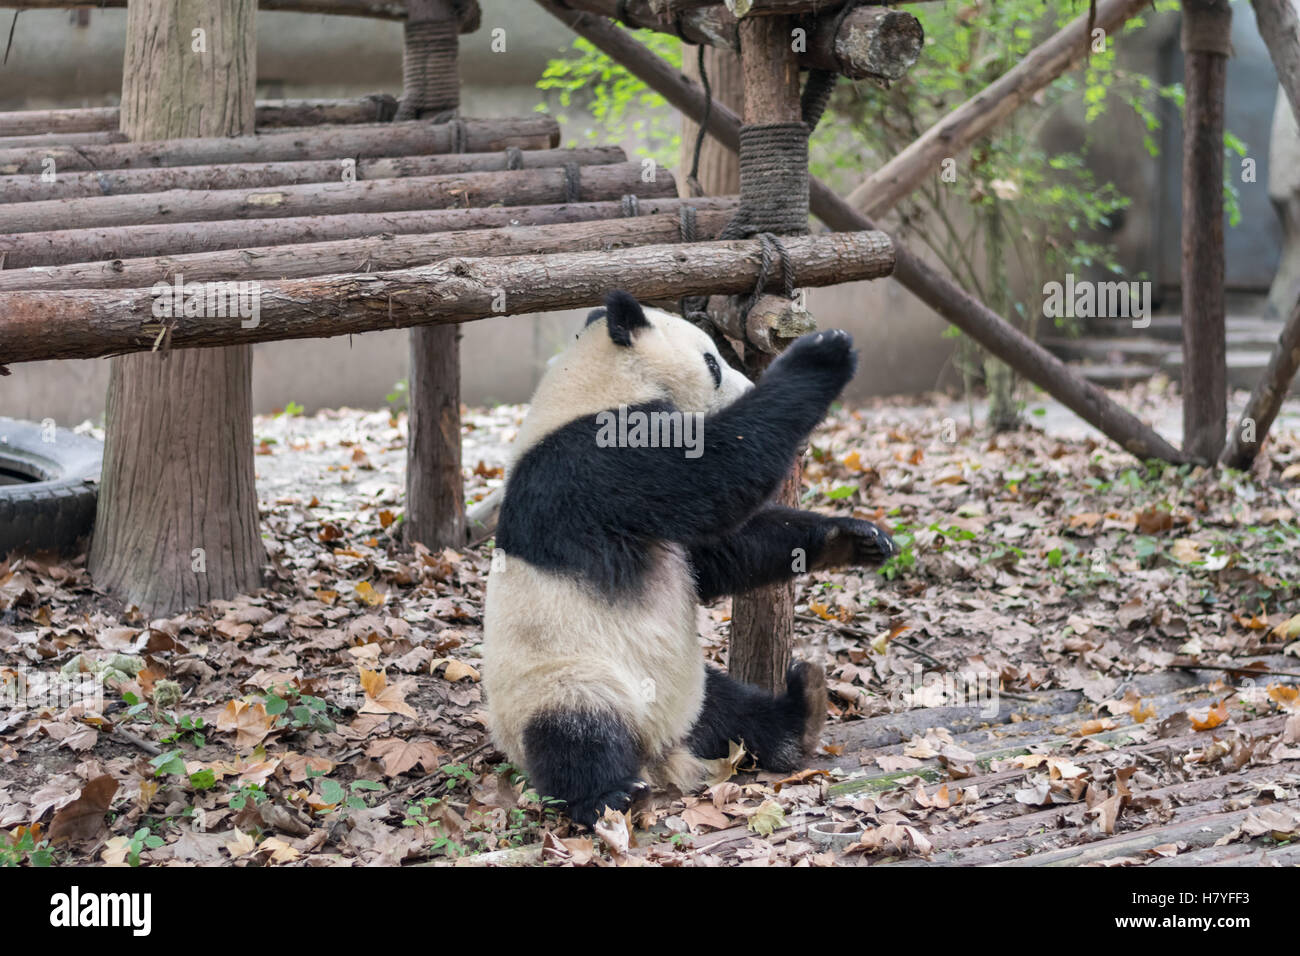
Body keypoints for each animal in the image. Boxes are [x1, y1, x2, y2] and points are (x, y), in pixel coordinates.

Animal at [483, 287, 899, 827]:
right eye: (712, 362)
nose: (746, 385)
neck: (596, 382)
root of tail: (660, 747)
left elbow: (718, 556)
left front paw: (857, 536)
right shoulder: (593, 461)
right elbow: (715, 475)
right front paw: (823, 354)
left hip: (691, 687)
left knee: (734, 709)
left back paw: (801, 710)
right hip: (566, 677)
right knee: (576, 734)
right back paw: (612, 794)